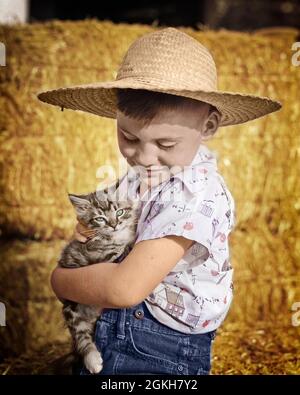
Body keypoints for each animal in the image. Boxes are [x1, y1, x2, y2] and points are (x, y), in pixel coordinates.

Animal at [57, 183, 142, 374]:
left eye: (119, 212)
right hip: (71, 309)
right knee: (81, 337)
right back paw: (92, 359)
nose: (114, 225)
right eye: (100, 219)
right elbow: (126, 248)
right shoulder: (104, 258)